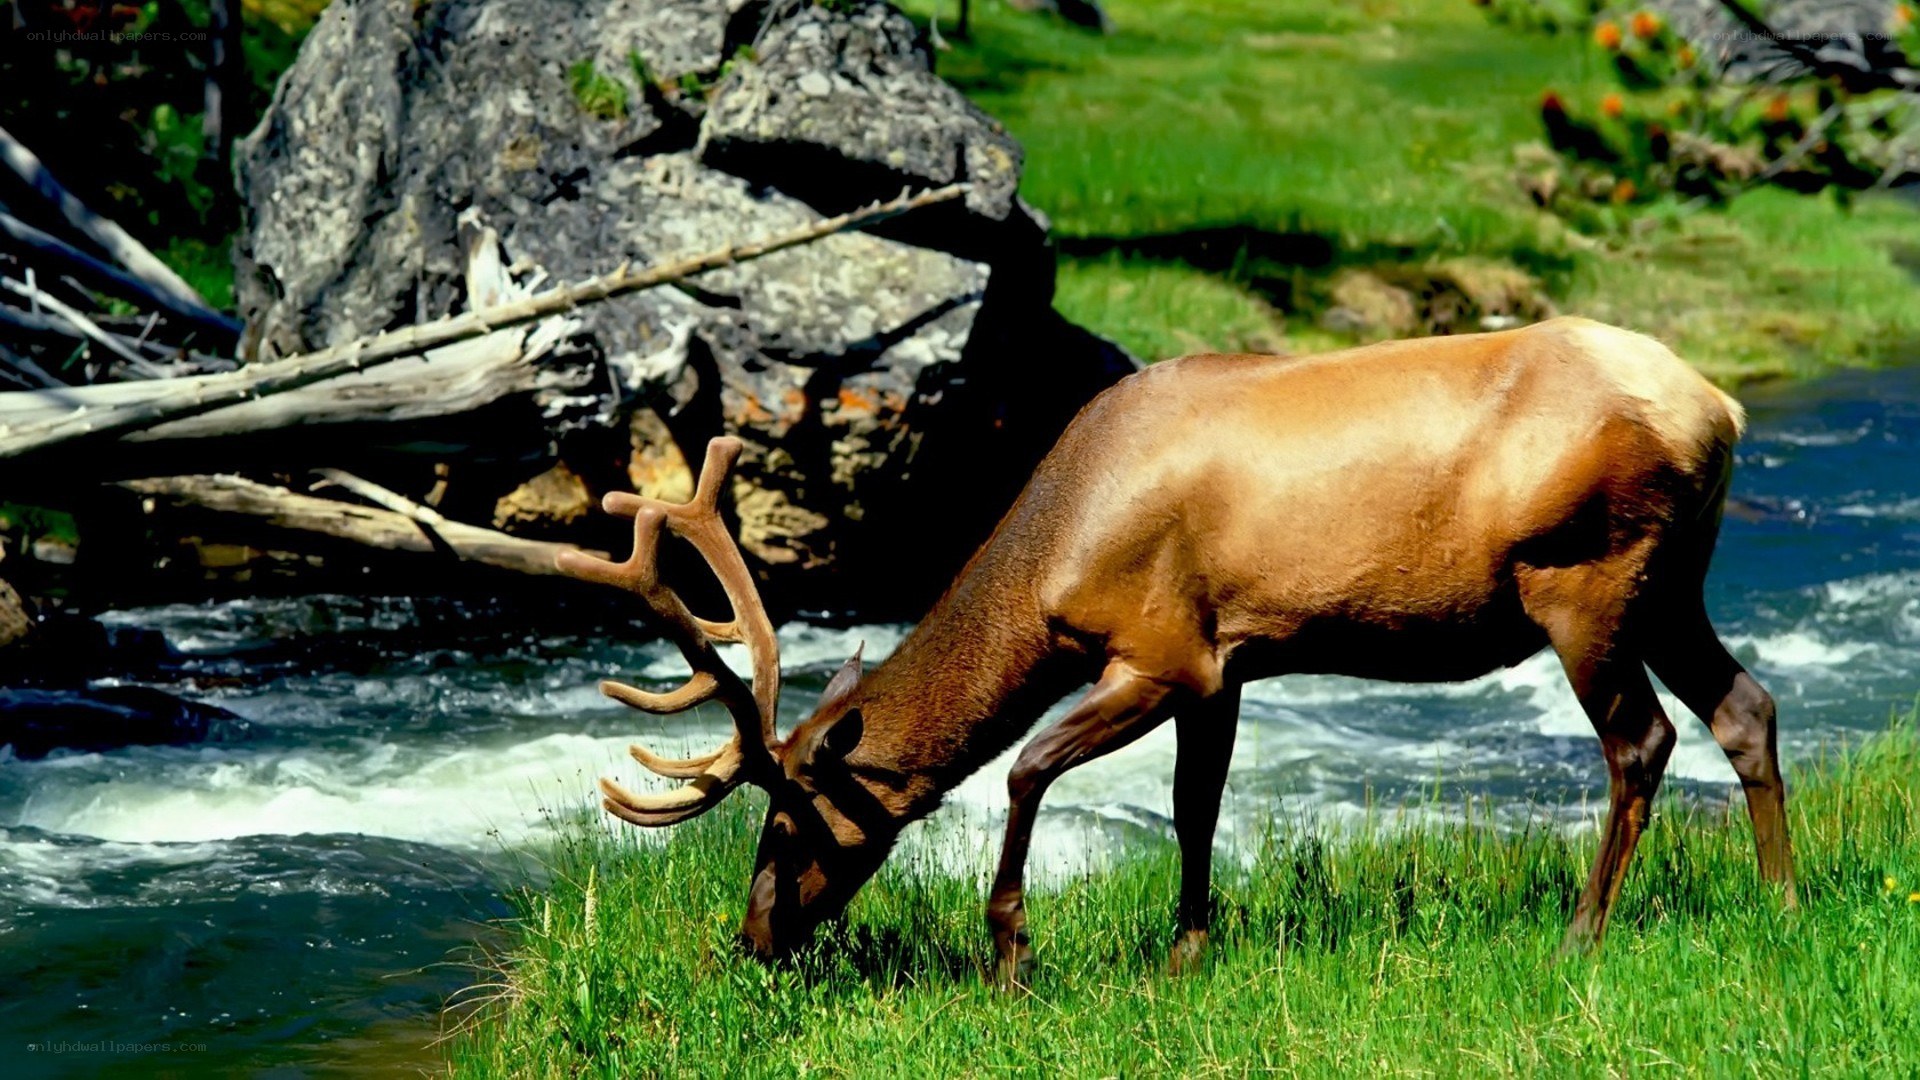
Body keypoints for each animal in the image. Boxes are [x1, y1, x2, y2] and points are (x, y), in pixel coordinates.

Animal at [555, 316, 1795, 987]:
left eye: (787, 824)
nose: (753, 938)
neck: (1054, 558)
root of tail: (1719, 408)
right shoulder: (1229, 661)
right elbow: (1197, 806)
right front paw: (1187, 951)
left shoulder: (1159, 652)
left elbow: (1024, 770)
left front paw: (1011, 956)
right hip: (1670, 584)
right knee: (1746, 707)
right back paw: (1783, 897)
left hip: (1587, 578)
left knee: (1642, 741)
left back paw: (1583, 932)